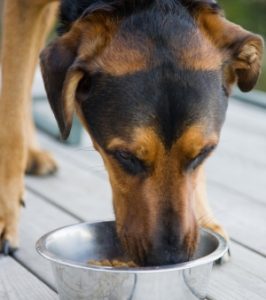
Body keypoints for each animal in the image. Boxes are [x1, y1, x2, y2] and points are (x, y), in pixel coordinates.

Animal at [0, 0, 262, 266]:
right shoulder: (21, 10)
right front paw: (5, 216)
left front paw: (205, 219)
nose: (170, 259)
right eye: (126, 156)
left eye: (204, 153)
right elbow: (11, 115)